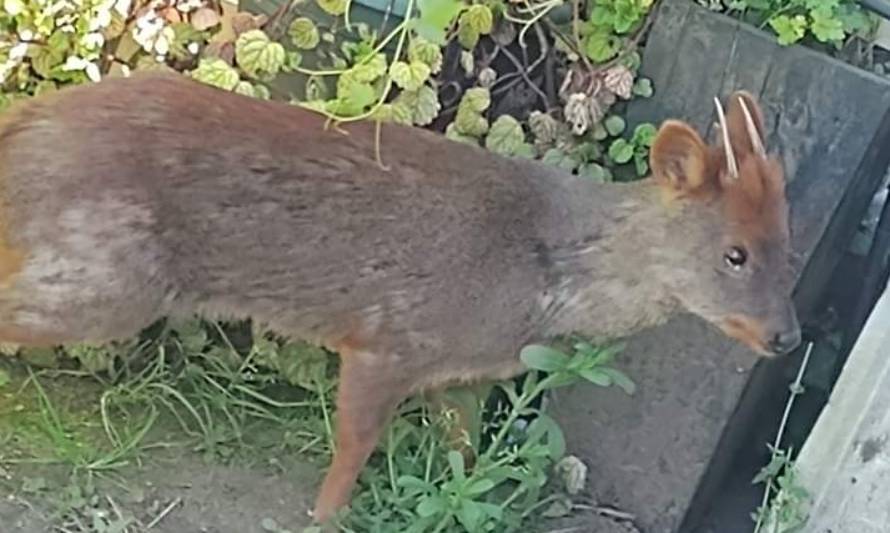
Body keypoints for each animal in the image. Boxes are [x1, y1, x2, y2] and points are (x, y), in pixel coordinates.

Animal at [0, 72, 796, 520]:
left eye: (790, 241)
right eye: (734, 253)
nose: (786, 335)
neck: (541, 278)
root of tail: (28, 124)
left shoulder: (463, 374)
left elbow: (465, 460)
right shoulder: (387, 340)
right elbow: (352, 450)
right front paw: (326, 517)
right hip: (104, 279)